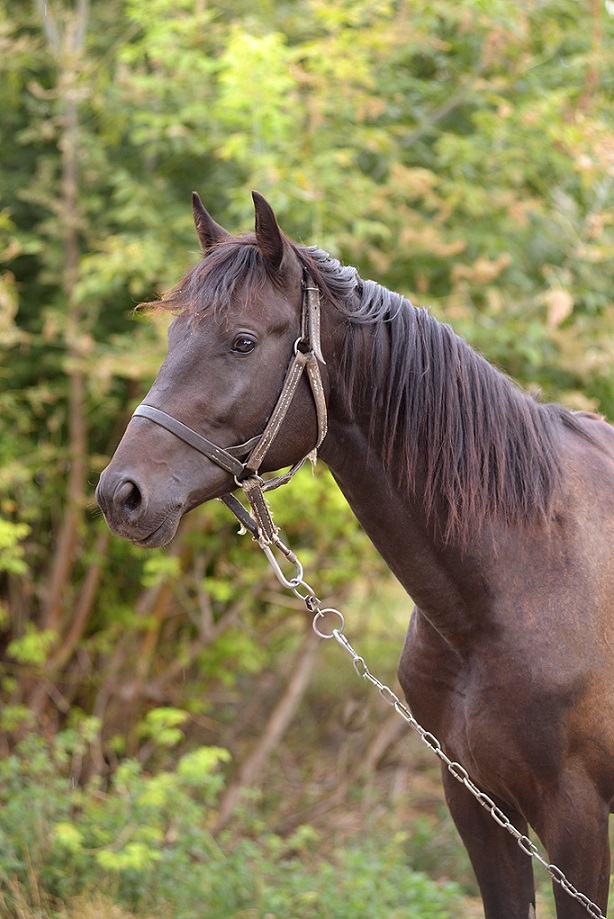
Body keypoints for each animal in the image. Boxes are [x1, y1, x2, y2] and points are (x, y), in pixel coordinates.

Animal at [96, 190, 614, 916]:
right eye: (174, 338)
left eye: (242, 341)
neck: (523, 576)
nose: (121, 494)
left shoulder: (576, 819)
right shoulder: (479, 805)